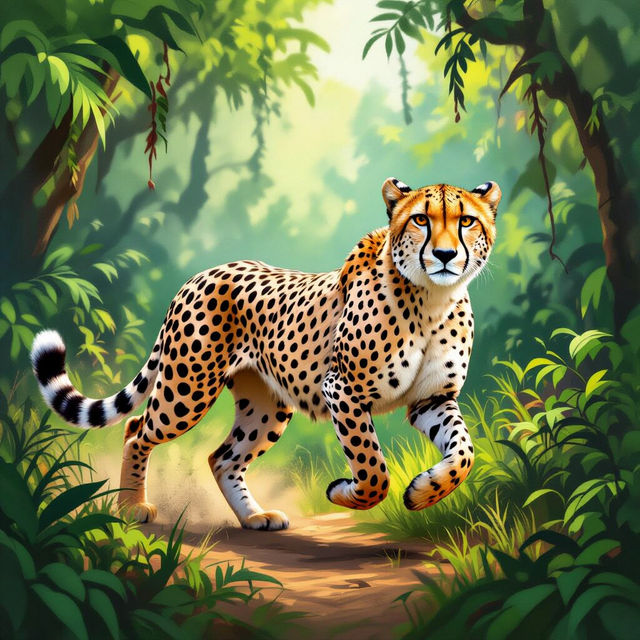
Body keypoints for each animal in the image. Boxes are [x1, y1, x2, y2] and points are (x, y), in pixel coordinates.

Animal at [31, 177, 500, 530]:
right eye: (421, 219)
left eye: (467, 222)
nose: (445, 255)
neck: (433, 298)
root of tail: (202, 273)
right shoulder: (342, 390)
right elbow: (371, 467)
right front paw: (344, 491)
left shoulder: (432, 399)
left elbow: (463, 453)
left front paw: (424, 492)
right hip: (186, 390)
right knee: (136, 429)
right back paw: (131, 508)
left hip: (266, 405)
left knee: (222, 458)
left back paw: (255, 517)